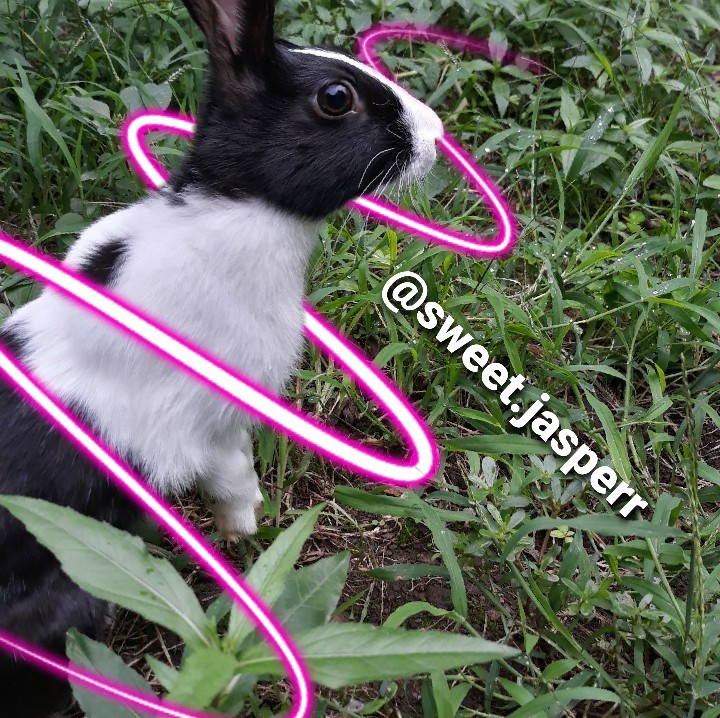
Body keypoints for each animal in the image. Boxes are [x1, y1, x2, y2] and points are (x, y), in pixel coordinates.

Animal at [0, 0, 444, 715]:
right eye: (336, 98)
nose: (435, 134)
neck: (236, 204)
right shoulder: (213, 424)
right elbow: (234, 481)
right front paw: (249, 534)